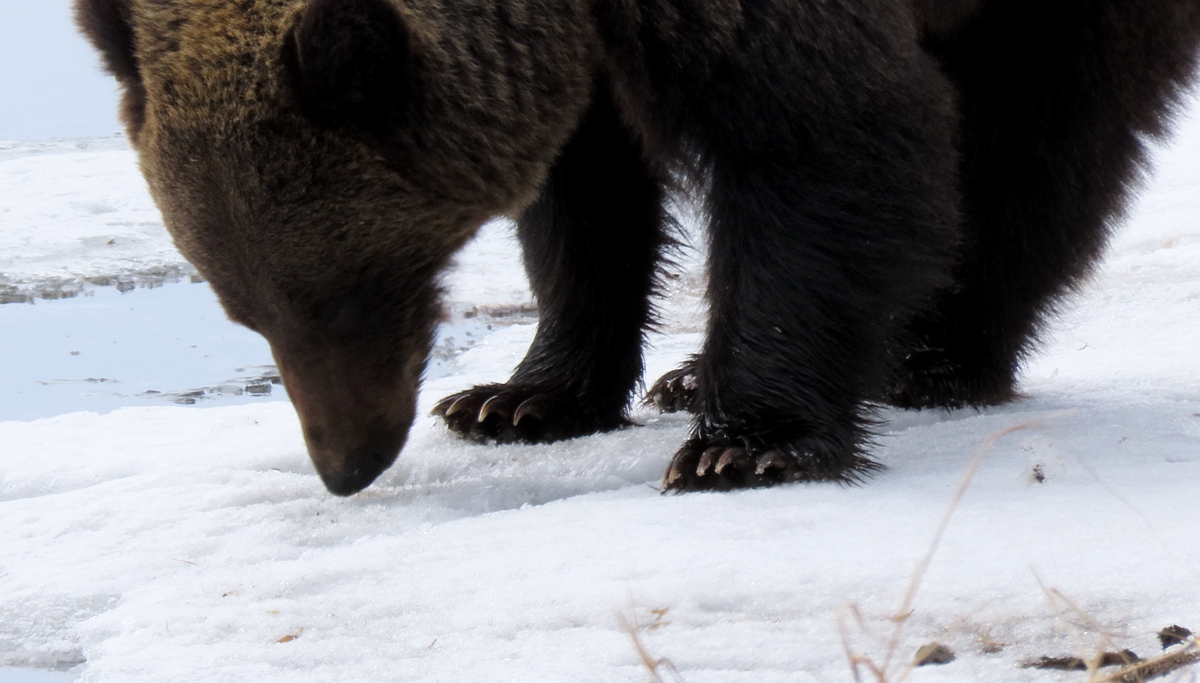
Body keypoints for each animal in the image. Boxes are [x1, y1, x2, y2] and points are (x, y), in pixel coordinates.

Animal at [77, 0, 1200, 492]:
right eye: (244, 307)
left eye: (350, 289)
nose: (348, 462)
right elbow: (584, 203)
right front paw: (519, 397)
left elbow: (821, 134)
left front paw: (746, 443)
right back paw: (689, 372)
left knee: (1038, 143)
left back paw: (936, 356)